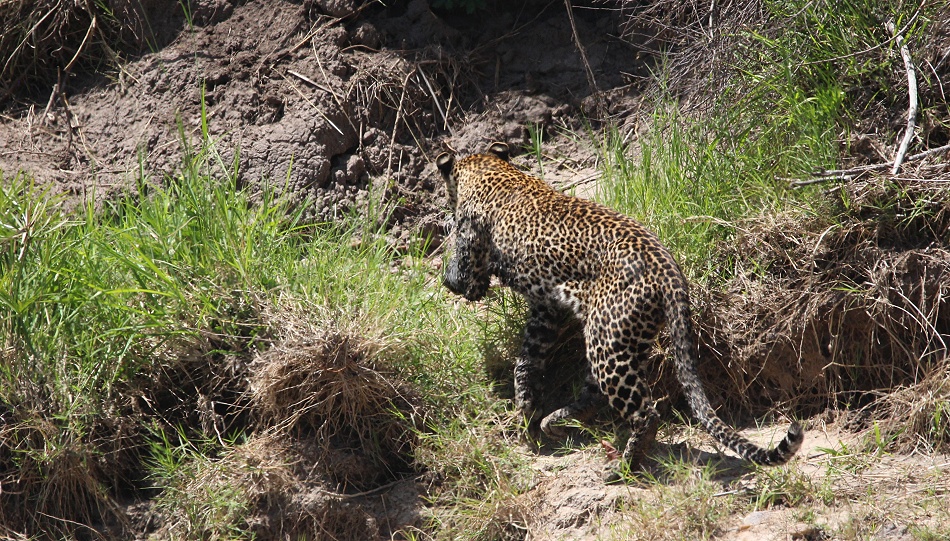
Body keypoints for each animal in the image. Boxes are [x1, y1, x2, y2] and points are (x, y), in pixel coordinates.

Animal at [436, 142, 803, 476]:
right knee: (597, 394)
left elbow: (464, 273)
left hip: (607, 339)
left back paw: (624, 465)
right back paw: (558, 421)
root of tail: (669, 269)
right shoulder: (547, 308)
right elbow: (527, 359)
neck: (492, 170)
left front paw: (448, 277)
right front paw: (525, 406)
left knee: (645, 412)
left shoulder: (473, 249)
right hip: (620, 336)